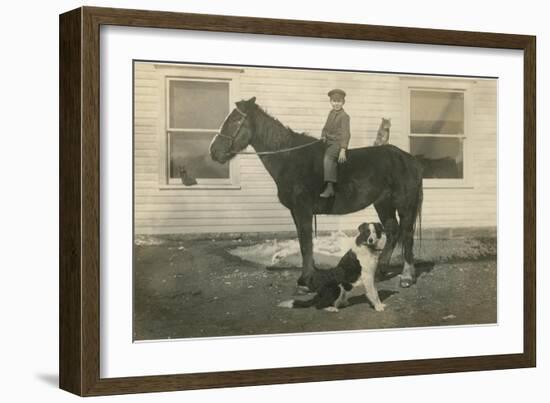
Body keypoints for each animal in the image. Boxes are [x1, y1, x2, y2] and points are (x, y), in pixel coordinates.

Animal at [210, 96, 422, 288]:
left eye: (235, 121)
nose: (214, 152)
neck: (290, 158)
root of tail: (410, 159)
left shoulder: (303, 210)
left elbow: (305, 243)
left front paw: (306, 280)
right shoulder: (296, 212)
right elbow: (304, 243)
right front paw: (308, 275)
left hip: (405, 205)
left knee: (407, 235)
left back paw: (406, 276)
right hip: (383, 204)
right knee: (393, 232)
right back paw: (380, 271)